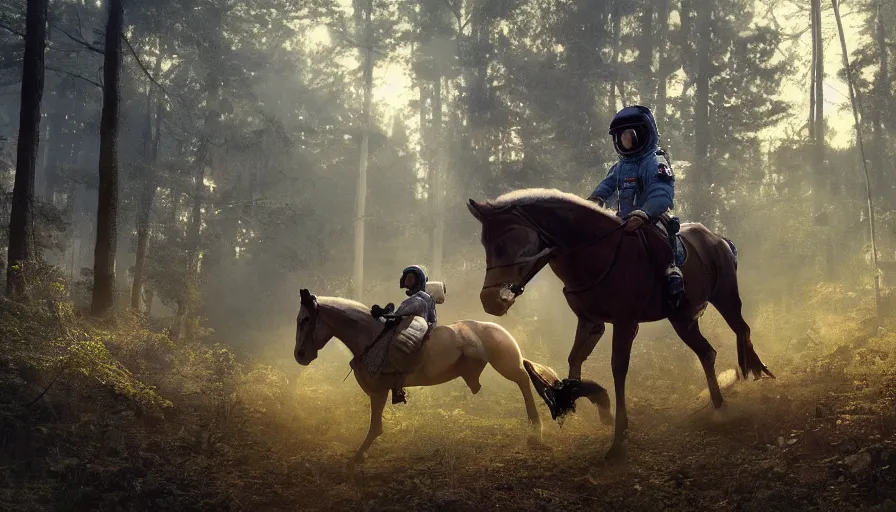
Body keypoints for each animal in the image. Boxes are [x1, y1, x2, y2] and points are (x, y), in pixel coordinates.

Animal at [298, 288, 544, 464]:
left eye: (306, 319)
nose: (299, 356)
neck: (372, 337)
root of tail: (499, 329)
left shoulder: (379, 392)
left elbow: (375, 428)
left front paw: (357, 457)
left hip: (506, 364)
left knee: (523, 379)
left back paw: (536, 429)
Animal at [466, 189, 772, 460]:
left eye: (501, 244)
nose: (489, 301)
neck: (597, 251)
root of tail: (718, 240)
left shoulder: (625, 323)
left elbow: (618, 369)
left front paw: (618, 436)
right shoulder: (591, 322)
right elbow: (575, 359)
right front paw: (579, 400)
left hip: (725, 298)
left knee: (741, 330)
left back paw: (750, 377)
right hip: (682, 319)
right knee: (708, 352)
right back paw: (722, 401)